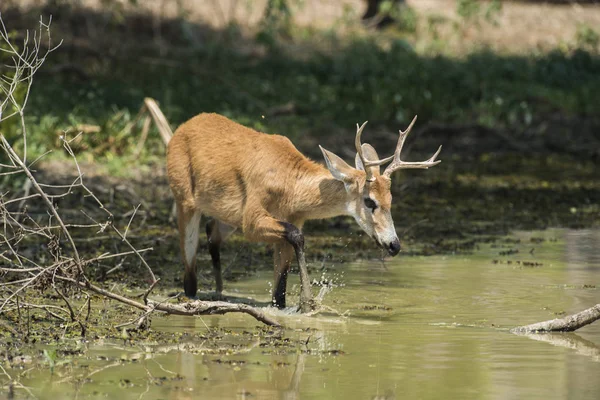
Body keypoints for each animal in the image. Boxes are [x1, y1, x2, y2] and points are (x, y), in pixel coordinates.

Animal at [168, 112, 440, 312]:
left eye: (391, 200)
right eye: (369, 201)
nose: (394, 245)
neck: (290, 187)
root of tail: (179, 130)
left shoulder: (293, 218)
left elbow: (279, 292)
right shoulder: (252, 218)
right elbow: (296, 236)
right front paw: (308, 302)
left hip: (227, 216)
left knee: (212, 232)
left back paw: (220, 291)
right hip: (184, 199)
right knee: (189, 274)